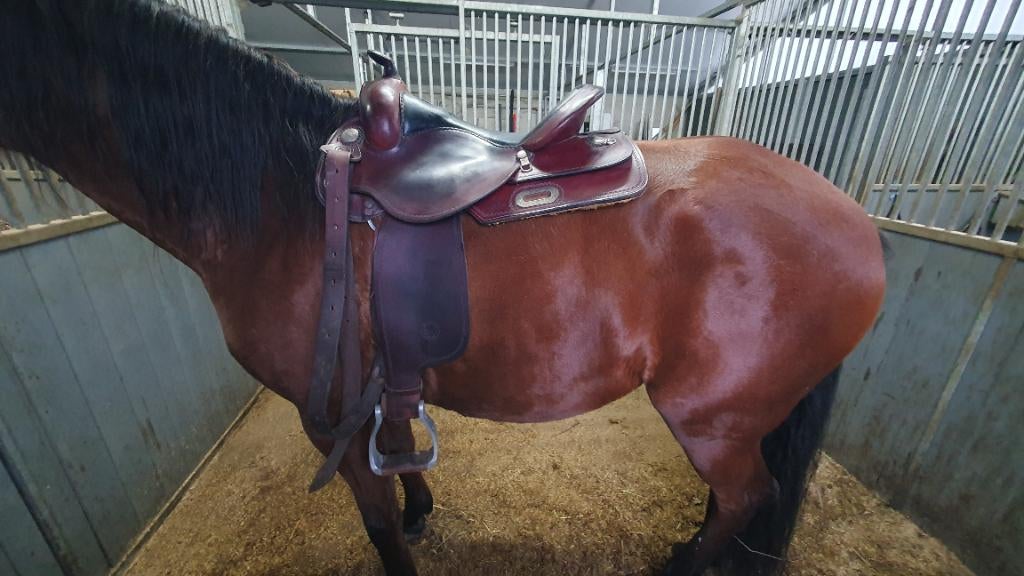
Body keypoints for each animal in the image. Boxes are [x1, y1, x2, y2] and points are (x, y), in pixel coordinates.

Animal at [0, 2, 886, 575]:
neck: (283, 204)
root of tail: (854, 219)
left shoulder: (326, 419)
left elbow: (379, 528)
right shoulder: (375, 392)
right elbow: (401, 461)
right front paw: (423, 508)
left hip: (710, 418)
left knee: (744, 498)